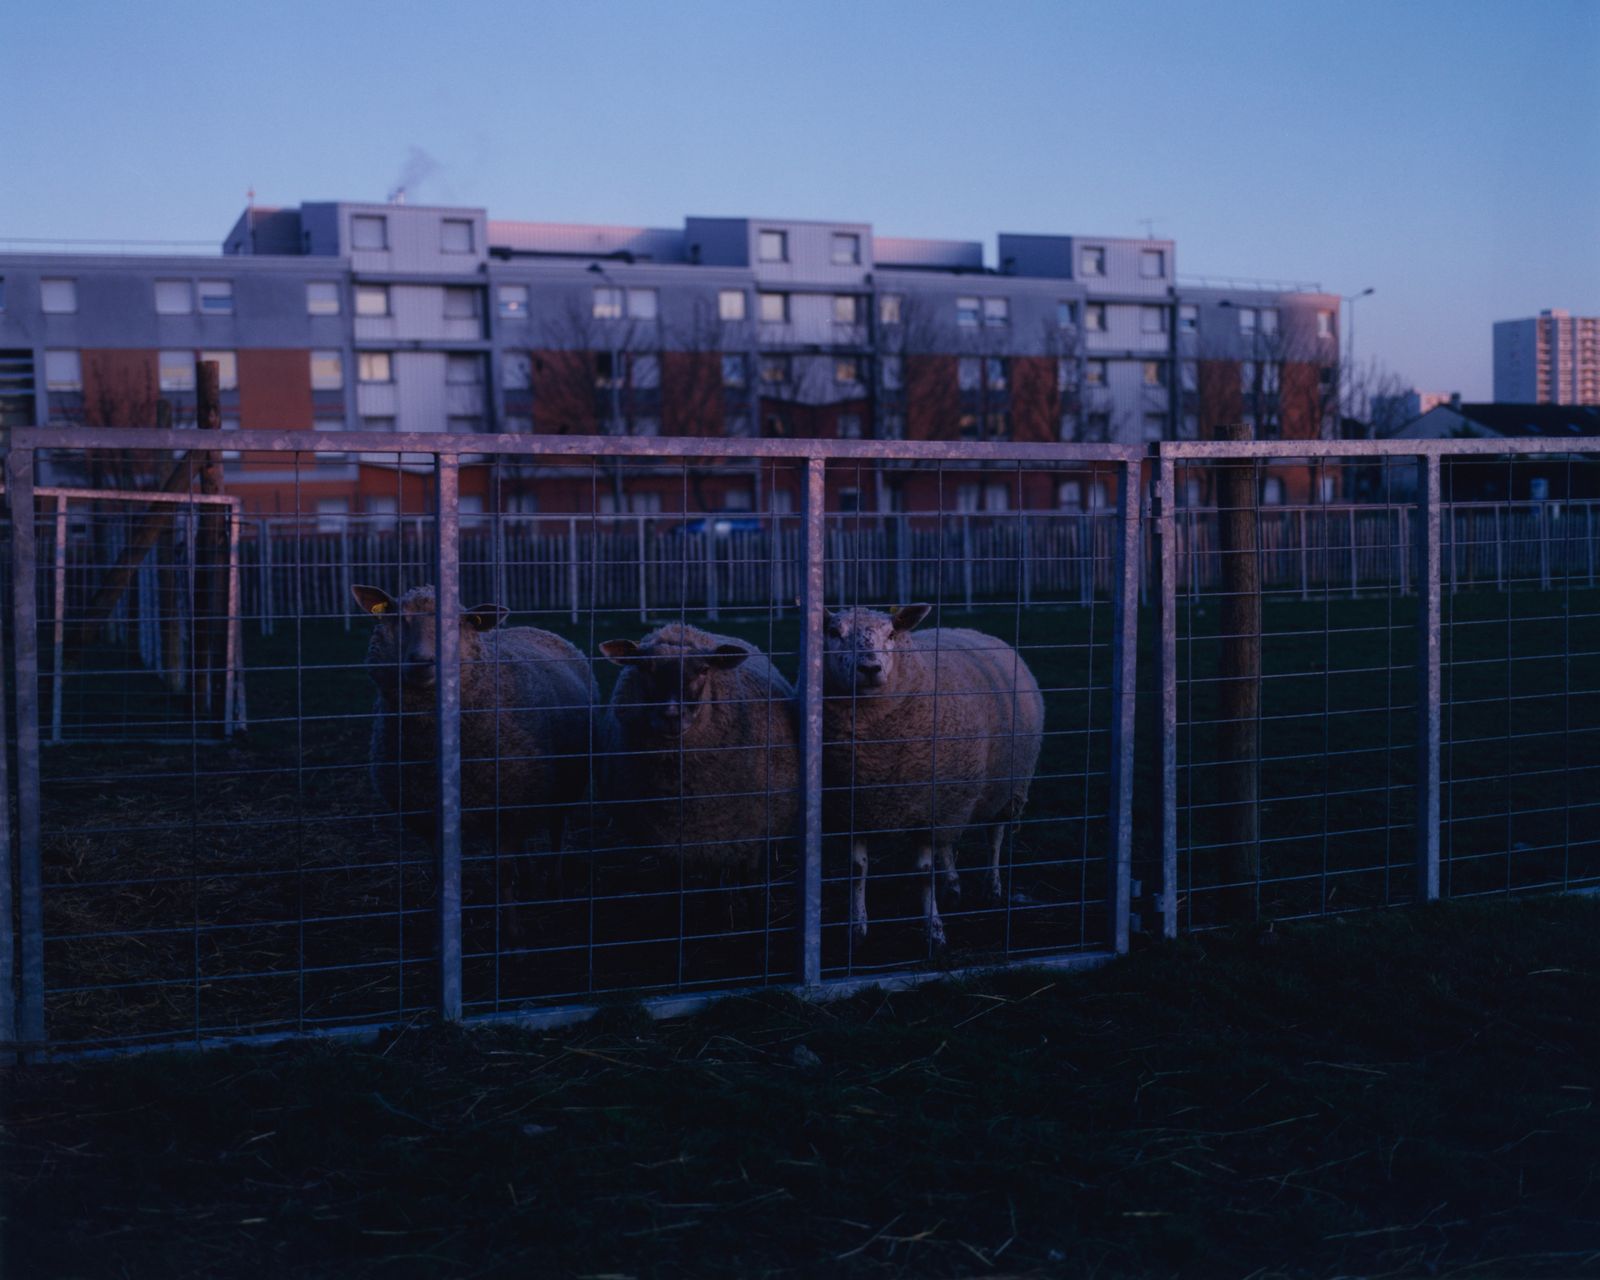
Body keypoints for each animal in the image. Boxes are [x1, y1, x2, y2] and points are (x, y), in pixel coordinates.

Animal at [353, 585, 598, 934]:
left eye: (459, 623)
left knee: (556, 832)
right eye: (398, 618)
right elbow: (441, 877)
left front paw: (511, 931)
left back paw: (554, 885)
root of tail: (533, 628)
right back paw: (530, 879)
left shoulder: (507, 805)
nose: (423, 661)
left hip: (562, 787)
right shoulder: (432, 815)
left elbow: (503, 873)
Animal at [825, 604, 1049, 947]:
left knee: (994, 837)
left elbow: (923, 871)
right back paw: (953, 887)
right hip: (954, 795)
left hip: (1006, 786)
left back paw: (993, 887)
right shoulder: (857, 805)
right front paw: (857, 927)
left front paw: (934, 930)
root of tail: (970, 630)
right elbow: (857, 869)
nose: (870, 668)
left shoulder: (929, 809)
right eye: (834, 633)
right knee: (947, 844)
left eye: (892, 633)